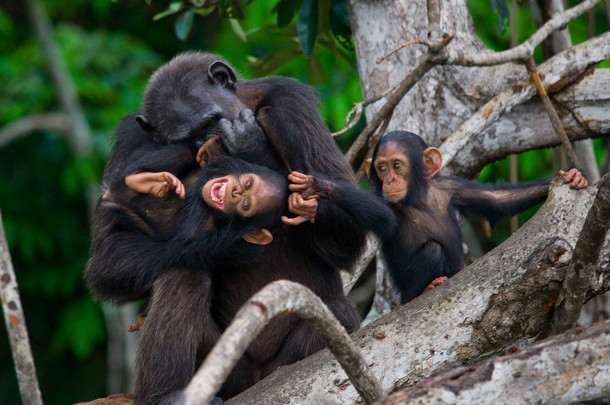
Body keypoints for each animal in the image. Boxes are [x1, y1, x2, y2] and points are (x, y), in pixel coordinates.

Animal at [364, 129, 588, 304]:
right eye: (381, 168)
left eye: (397, 165)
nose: (389, 179)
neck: (417, 199)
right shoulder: (385, 203)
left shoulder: (451, 186)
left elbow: (496, 201)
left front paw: (571, 176)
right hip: (405, 297)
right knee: (432, 250)